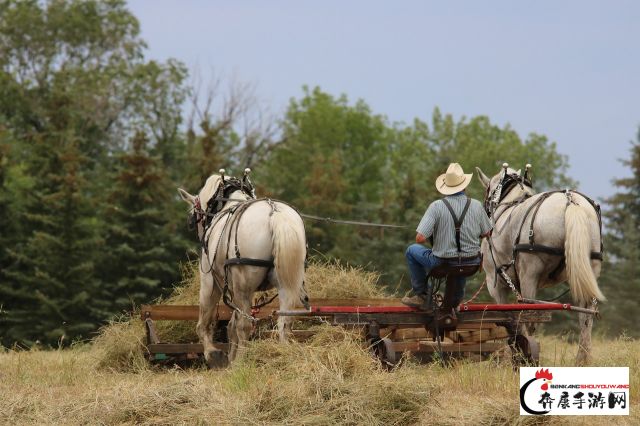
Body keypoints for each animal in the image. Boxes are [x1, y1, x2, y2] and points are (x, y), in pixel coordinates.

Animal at [178, 171, 308, 368]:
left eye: (195, 214)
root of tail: (274, 212)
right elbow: (232, 324)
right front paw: (230, 358)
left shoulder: (210, 281)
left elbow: (206, 321)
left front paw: (213, 354)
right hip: (287, 283)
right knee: (284, 321)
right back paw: (283, 354)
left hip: (242, 285)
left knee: (245, 325)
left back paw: (240, 361)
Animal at [476, 165, 604, 364]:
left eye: (488, 191)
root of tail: (570, 201)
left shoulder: (495, 283)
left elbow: (507, 319)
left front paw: (512, 356)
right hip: (589, 269)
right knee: (586, 317)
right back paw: (582, 360)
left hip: (529, 274)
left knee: (532, 317)